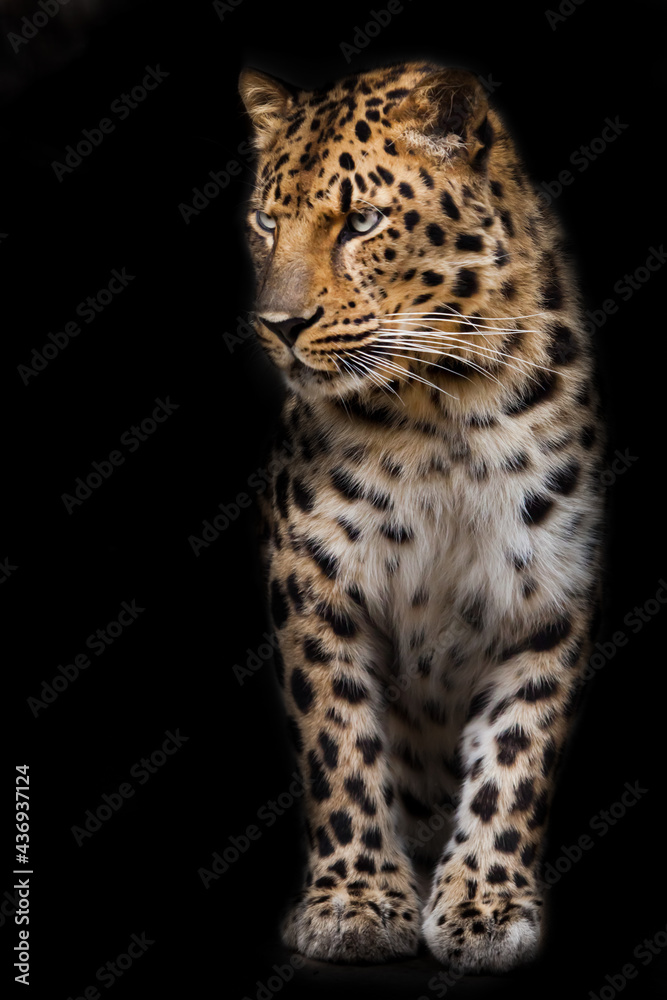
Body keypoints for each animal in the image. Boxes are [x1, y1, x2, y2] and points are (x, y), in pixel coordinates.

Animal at [237, 60, 604, 974]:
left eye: (361, 221)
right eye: (265, 220)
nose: (278, 327)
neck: (437, 411)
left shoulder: (548, 589)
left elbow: (515, 753)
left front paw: (484, 906)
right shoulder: (312, 582)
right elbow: (339, 746)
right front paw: (357, 903)